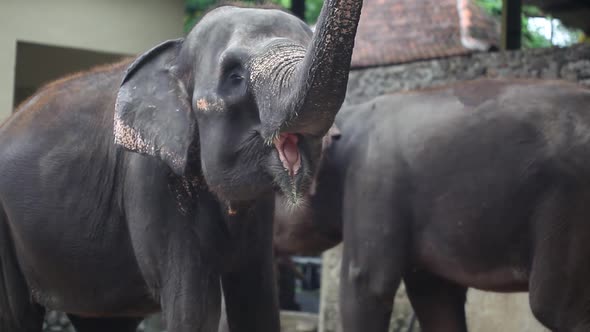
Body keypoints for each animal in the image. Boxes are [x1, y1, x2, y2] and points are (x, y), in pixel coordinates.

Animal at [0, 0, 364, 330]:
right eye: (235, 77)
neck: (177, 52)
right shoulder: (152, 180)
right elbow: (193, 306)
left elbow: (257, 301)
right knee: (17, 315)